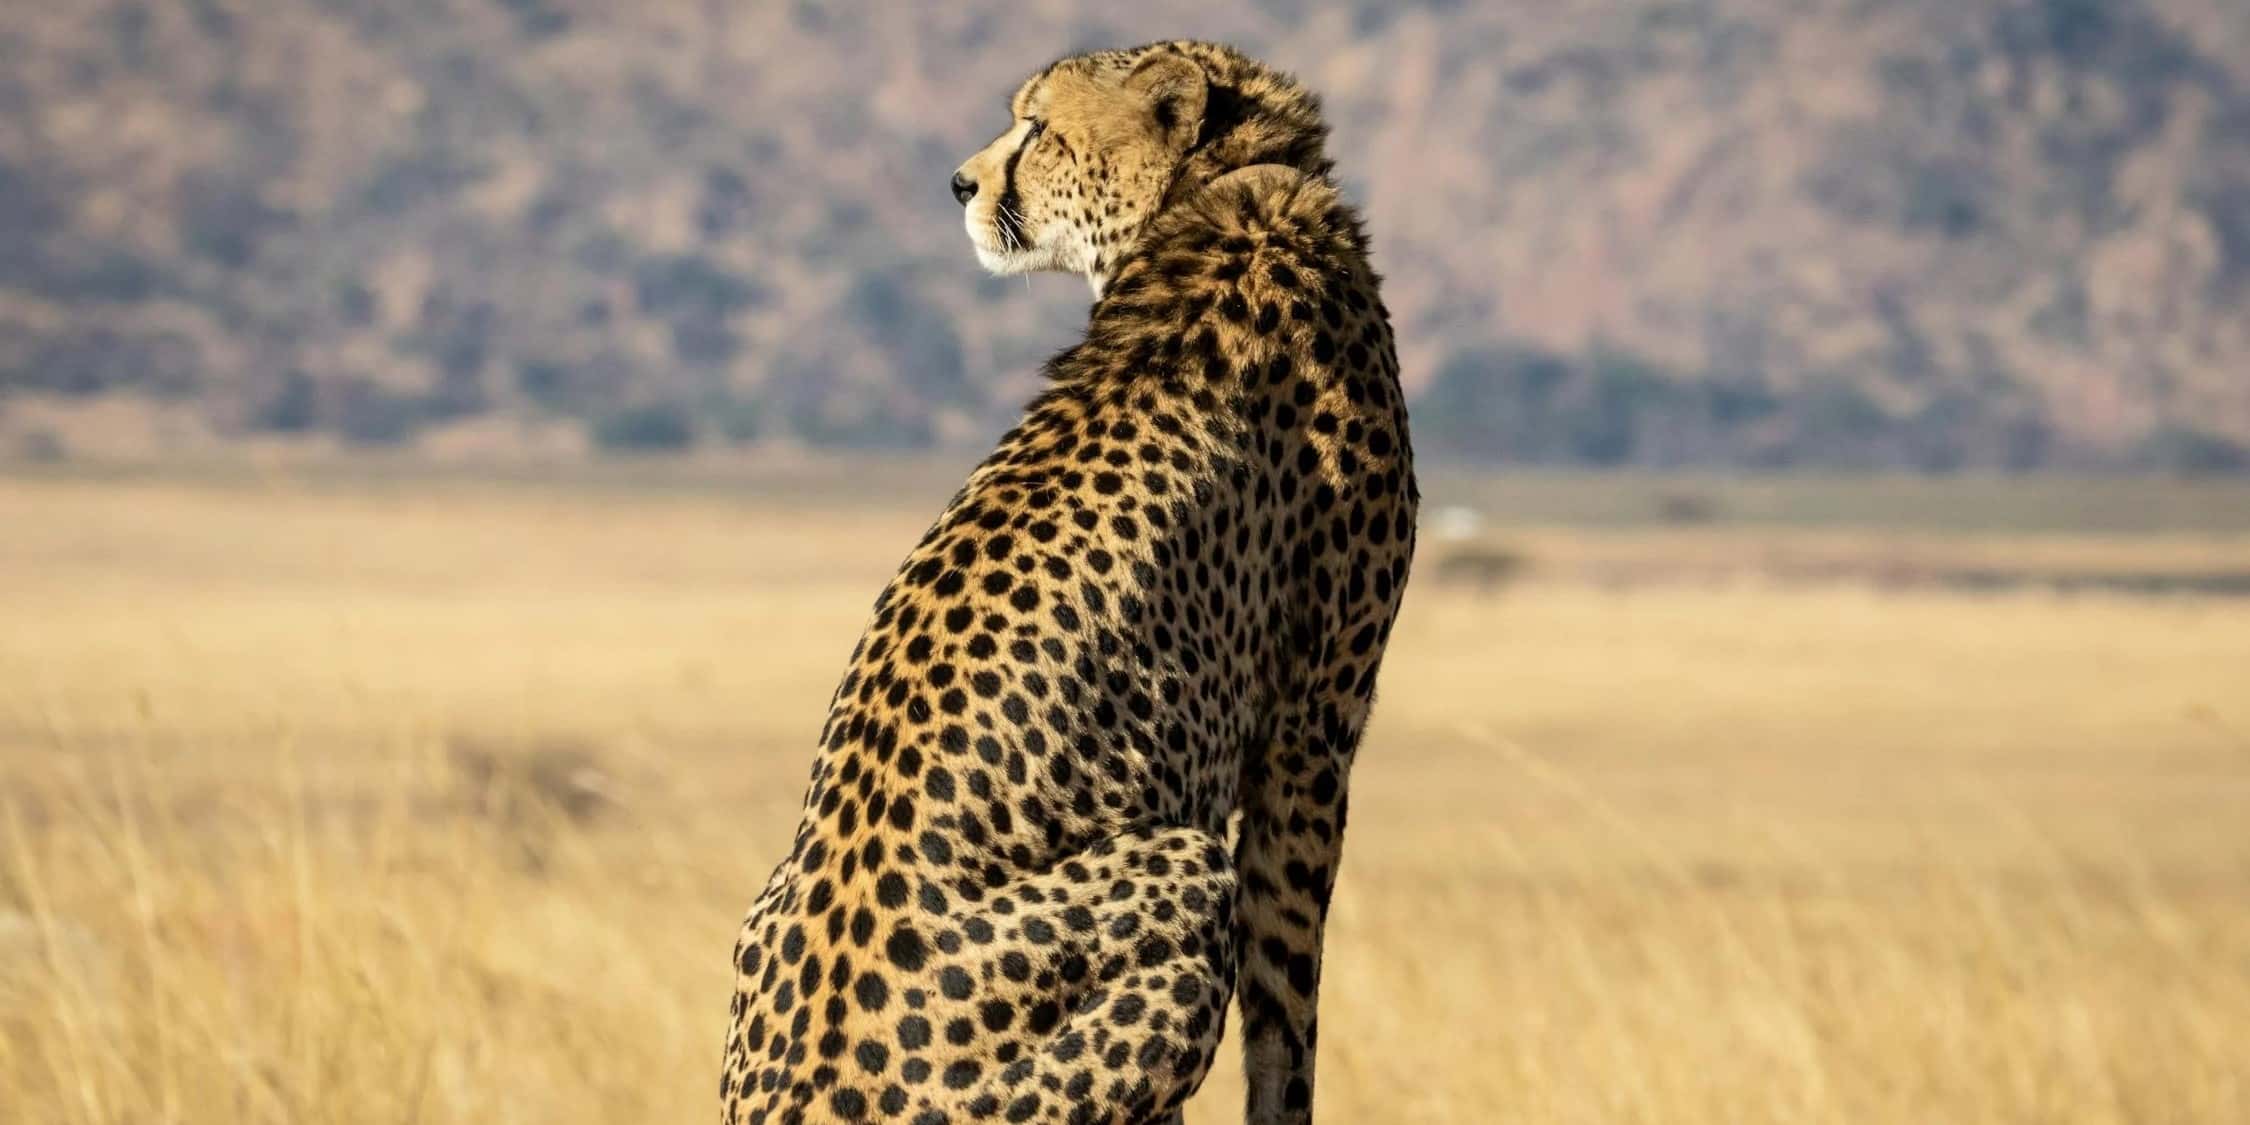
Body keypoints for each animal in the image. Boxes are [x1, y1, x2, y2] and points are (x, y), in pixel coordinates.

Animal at [722, 40, 1417, 1125]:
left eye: (1040, 128)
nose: (959, 182)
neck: (1222, 188)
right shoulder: (1312, 727)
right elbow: (1287, 996)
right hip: (1183, 868)